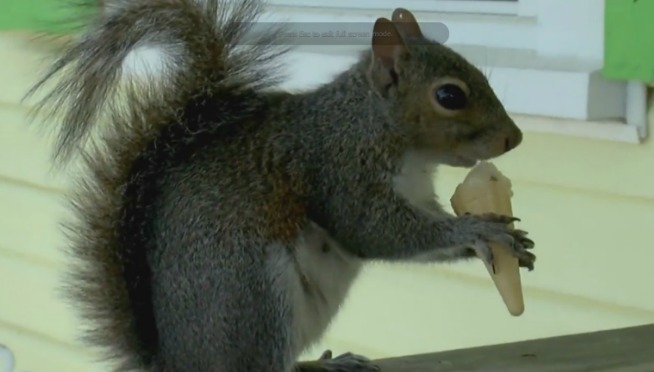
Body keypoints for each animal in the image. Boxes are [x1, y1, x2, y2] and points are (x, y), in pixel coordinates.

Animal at [24, 0, 540, 370]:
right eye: (449, 95)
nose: (514, 138)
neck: (376, 126)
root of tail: (175, 363)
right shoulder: (338, 168)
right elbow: (375, 232)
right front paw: (478, 230)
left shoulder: (417, 192)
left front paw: (505, 239)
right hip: (252, 298)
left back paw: (327, 364)